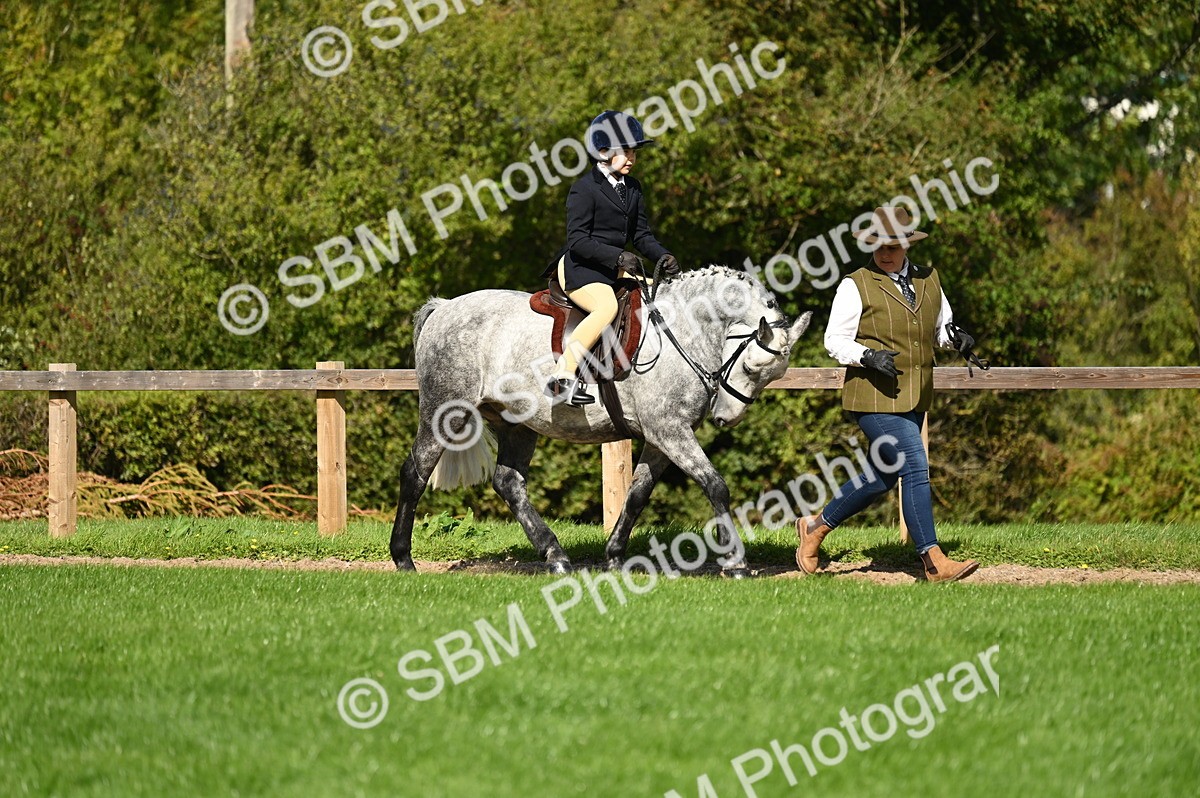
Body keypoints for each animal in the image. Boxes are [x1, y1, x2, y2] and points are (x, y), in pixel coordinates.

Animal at [389, 265, 812, 577]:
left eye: (773, 375)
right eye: (752, 366)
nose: (725, 417)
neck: (683, 329)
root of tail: (443, 307)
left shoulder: (662, 437)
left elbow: (638, 494)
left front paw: (614, 556)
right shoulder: (670, 431)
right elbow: (715, 486)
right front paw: (736, 562)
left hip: (517, 425)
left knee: (508, 483)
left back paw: (556, 556)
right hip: (445, 412)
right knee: (415, 473)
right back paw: (403, 559)